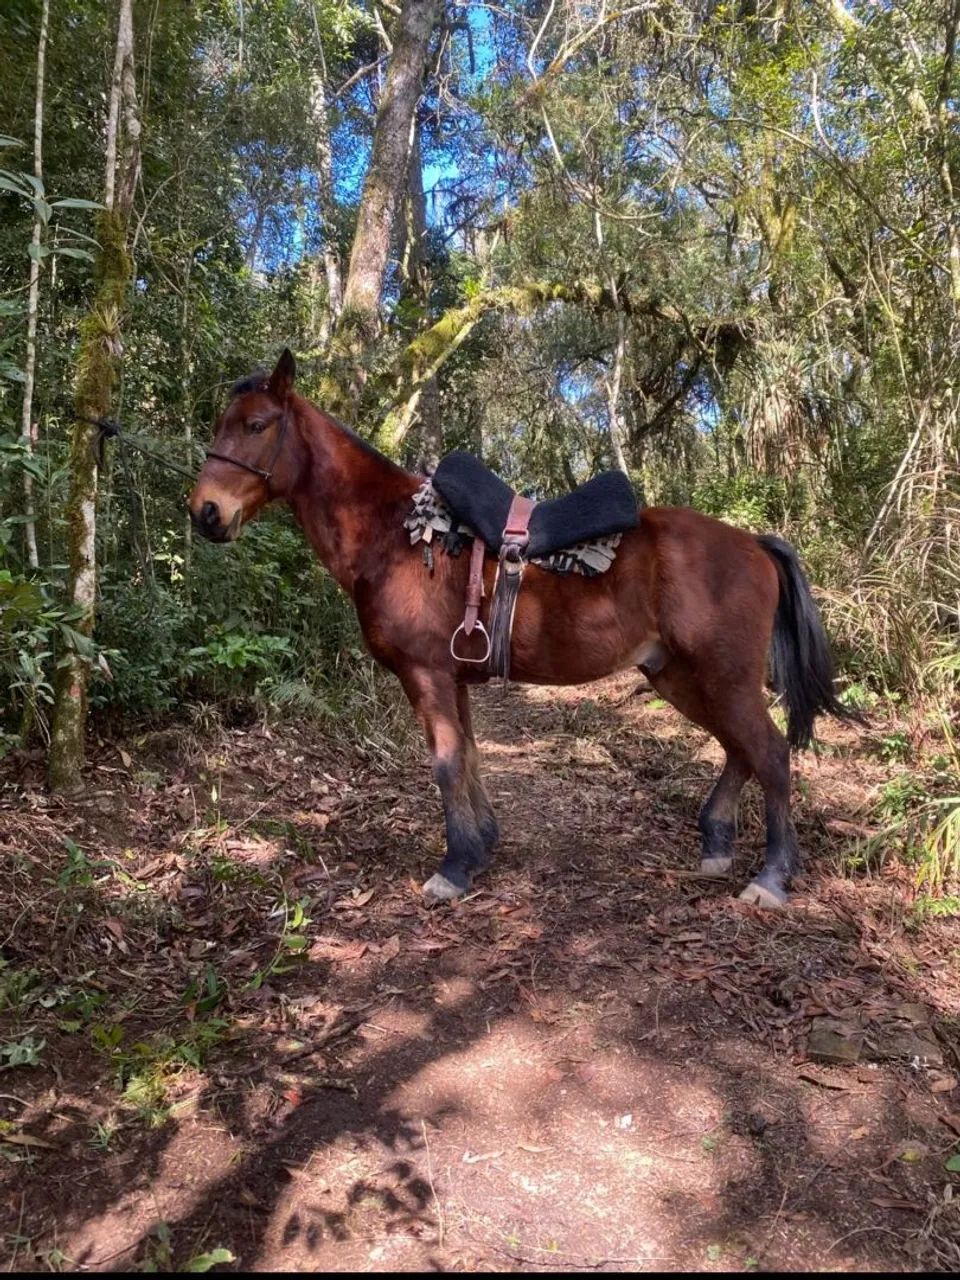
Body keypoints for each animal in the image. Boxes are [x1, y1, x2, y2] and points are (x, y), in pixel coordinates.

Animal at [188, 348, 855, 909]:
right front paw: (481, 844)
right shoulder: (452, 676)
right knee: (741, 748)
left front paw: (454, 867)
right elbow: (469, 754)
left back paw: (771, 877)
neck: (393, 534)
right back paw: (716, 844)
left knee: (769, 752)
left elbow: (446, 762)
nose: (205, 513)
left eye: (255, 425)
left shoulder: (426, 673)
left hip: (723, 675)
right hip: (681, 677)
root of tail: (754, 544)